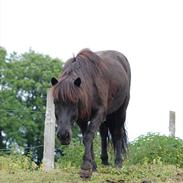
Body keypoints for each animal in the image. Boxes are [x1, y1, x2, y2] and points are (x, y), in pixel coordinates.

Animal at [50, 49, 131, 179]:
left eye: (74, 101)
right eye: (55, 102)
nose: (63, 135)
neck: (89, 87)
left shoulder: (99, 113)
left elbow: (89, 136)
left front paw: (86, 168)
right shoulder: (81, 119)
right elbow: (87, 138)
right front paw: (93, 166)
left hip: (121, 110)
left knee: (117, 134)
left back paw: (118, 163)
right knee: (104, 134)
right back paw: (105, 161)